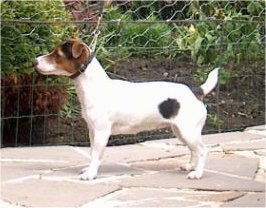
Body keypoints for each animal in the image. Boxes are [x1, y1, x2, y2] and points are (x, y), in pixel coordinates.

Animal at [33, 37, 219, 180]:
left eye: (57, 54)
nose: (34, 61)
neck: (94, 87)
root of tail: (196, 91)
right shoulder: (92, 131)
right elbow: (92, 153)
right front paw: (89, 169)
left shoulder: (102, 132)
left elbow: (96, 154)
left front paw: (91, 174)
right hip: (180, 131)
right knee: (194, 151)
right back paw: (190, 167)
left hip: (189, 131)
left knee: (202, 151)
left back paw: (197, 174)